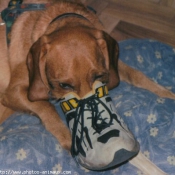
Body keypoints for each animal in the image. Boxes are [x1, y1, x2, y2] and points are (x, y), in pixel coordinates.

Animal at [0, 0, 174, 175]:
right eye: (64, 85)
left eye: (98, 76)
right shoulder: (13, 92)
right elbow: (46, 107)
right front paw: (67, 137)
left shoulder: (112, 67)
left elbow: (138, 76)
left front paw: (168, 95)